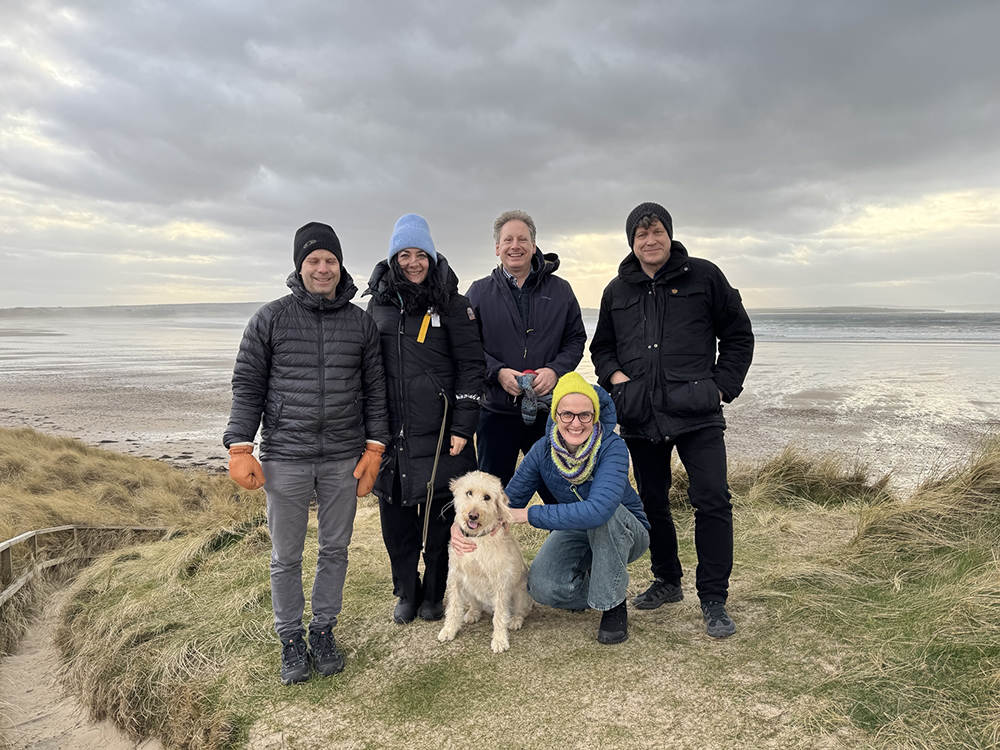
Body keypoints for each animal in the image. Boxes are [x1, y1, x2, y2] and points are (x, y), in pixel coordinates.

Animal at [436, 472, 532, 656]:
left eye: (487, 497)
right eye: (469, 493)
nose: (473, 515)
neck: (476, 538)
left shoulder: (500, 583)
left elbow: (500, 615)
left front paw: (500, 640)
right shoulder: (455, 578)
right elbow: (453, 607)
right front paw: (449, 630)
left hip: (521, 593)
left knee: (522, 611)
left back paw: (515, 620)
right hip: (468, 588)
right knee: (476, 604)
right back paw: (473, 613)